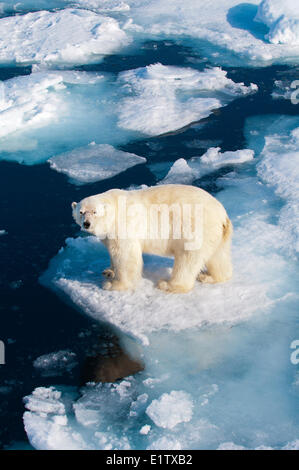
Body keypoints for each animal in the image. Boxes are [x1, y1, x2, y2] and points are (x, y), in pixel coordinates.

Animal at [71, 185, 233, 292]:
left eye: (95, 212)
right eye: (81, 212)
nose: (86, 224)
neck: (115, 207)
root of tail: (222, 215)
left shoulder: (124, 226)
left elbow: (125, 256)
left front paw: (113, 284)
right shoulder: (109, 233)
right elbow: (112, 251)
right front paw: (108, 271)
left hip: (195, 228)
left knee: (187, 259)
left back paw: (168, 284)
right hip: (217, 234)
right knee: (218, 256)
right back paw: (210, 277)